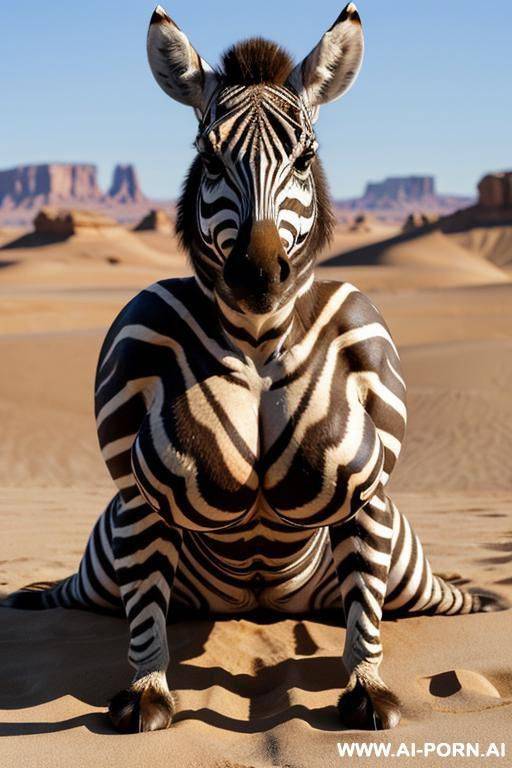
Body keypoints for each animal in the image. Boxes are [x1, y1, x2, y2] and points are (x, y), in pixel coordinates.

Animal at [3, 3, 505, 733]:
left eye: (306, 157)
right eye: (209, 157)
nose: (259, 273)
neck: (261, 338)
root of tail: (264, 606)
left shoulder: (371, 491)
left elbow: (366, 619)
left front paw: (367, 687)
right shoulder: (134, 492)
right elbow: (144, 618)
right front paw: (147, 691)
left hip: (406, 571)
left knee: (426, 596)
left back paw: (487, 599)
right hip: (104, 562)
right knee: (87, 591)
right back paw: (31, 596)